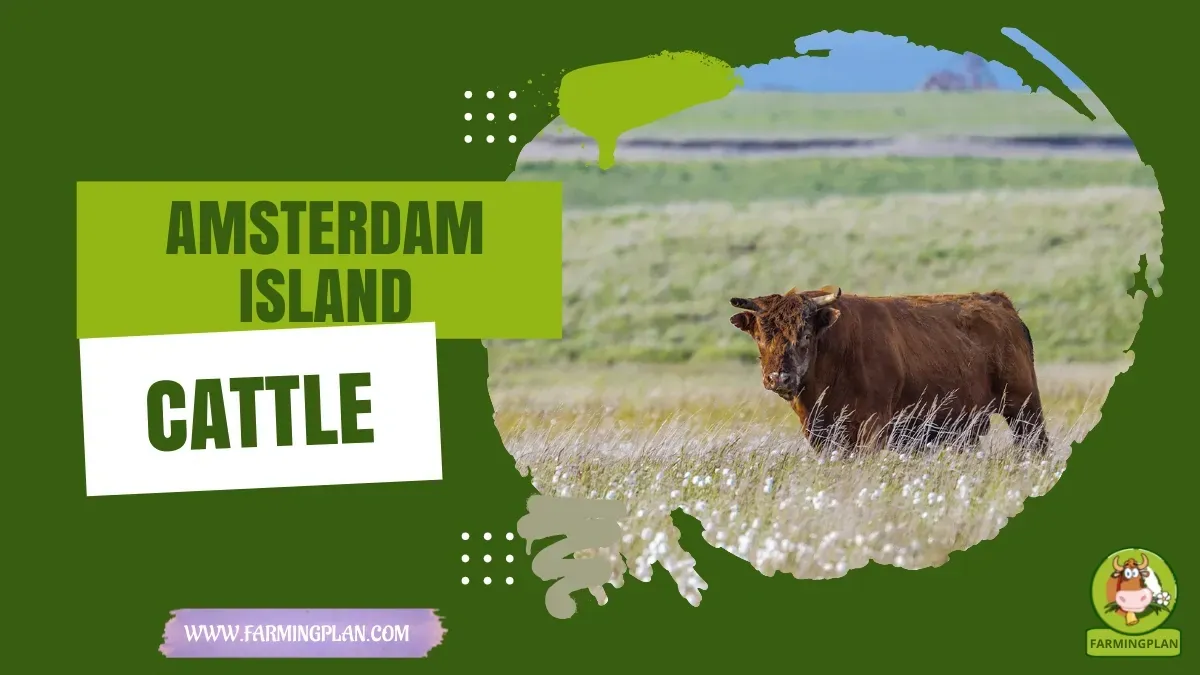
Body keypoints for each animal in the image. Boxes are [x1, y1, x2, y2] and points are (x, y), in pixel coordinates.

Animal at [728, 285, 1049, 453]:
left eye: (805, 334)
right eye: (760, 336)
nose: (778, 377)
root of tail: (1001, 303)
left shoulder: (874, 428)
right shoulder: (820, 433)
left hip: (1025, 409)